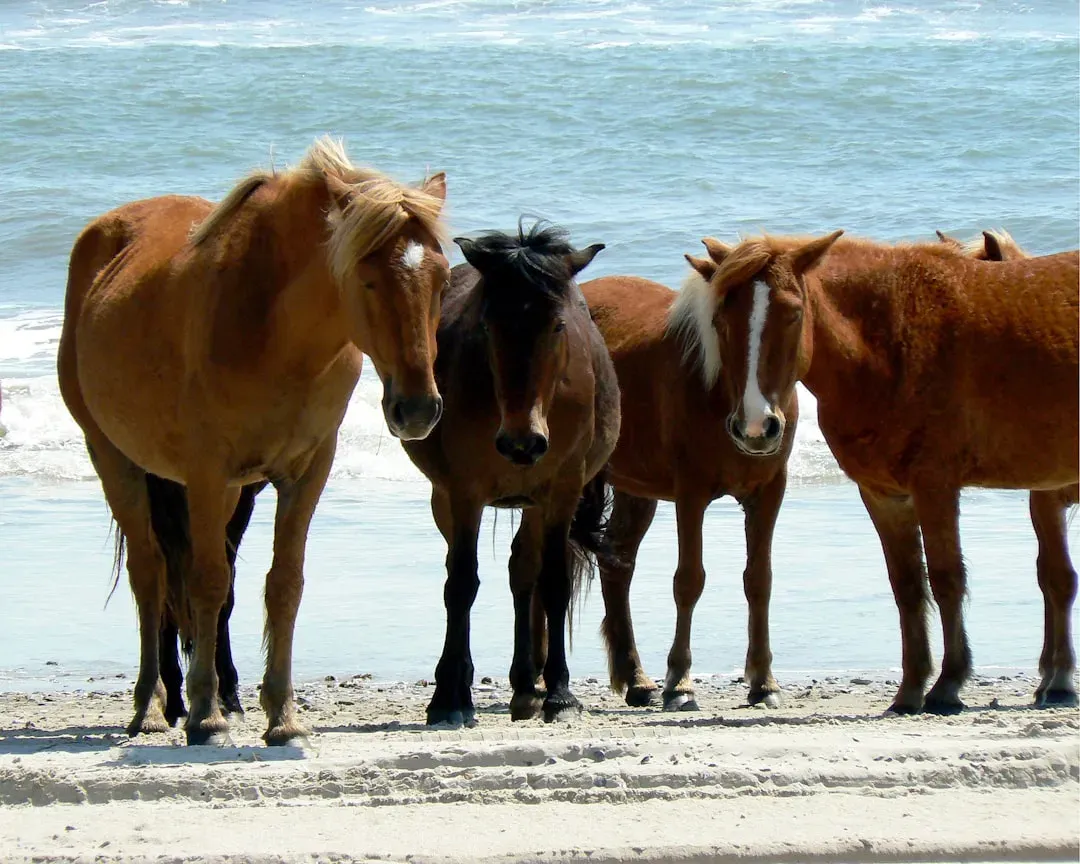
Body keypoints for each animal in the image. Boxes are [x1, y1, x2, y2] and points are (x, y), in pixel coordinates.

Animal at [58, 137, 450, 744]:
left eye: (444, 280)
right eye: (366, 279)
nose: (417, 409)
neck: (273, 331)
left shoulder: (307, 473)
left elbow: (283, 583)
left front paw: (282, 715)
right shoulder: (208, 475)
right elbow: (208, 581)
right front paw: (205, 713)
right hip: (114, 460)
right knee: (150, 576)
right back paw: (151, 704)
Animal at [400, 222, 620, 725]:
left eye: (558, 324)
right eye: (487, 325)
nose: (523, 443)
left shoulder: (562, 490)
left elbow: (552, 581)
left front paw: (559, 693)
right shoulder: (464, 492)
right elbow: (461, 583)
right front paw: (450, 699)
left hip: (537, 503)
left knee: (524, 570)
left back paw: (526, 686)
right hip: (446, 498)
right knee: (462, 573)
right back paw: (456, 682)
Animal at [580, 244, 806, 711]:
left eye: (793, 313)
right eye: (721, 319)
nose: (756, 428)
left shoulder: (768, 493)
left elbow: (759, 580)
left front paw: (764, 682)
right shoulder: (691, 494)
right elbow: (689, 580)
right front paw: (680, 683)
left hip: (635, 491)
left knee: (617, 565)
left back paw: (636, 680)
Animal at [697, 230, 1078, 714]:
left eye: (793, 313)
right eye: (720, 319)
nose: (755, 426)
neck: (890, 343)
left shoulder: (936, 486)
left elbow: (947, 577)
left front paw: (948, 683)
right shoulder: (884, 495)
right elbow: (908, 585)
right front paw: (911, 688)